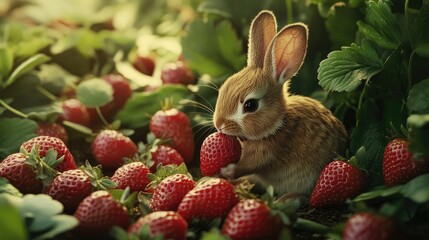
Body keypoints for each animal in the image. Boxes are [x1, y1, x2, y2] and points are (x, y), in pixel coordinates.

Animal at [212, 10, 346, 200]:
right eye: (223, 88)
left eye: (250, 105)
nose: (219, 125)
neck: (277, 125)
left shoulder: (269, 152)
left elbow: (251, 164)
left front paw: (228, 170)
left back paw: (285, 200)